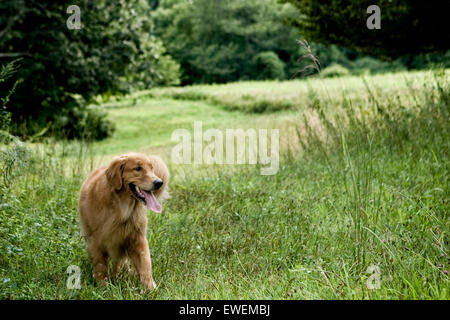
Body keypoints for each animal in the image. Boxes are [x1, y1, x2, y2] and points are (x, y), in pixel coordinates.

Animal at [77, 152, 169, 290]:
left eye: (151, 168)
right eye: (138, 168)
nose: (159, 182)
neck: (121, 210)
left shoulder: (137, 238)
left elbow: (145, 263)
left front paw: (150, 288)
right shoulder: (96, 240)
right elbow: (100, 265)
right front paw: (102, 286)